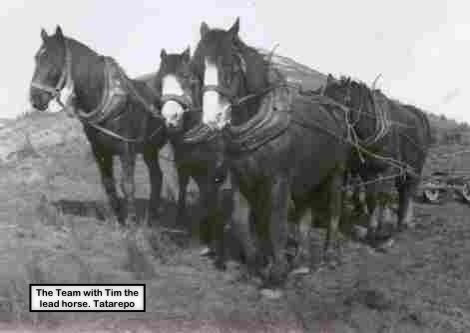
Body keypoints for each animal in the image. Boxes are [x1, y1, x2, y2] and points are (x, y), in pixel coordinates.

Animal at [28, 24, 166, 224]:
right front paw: (117, 219)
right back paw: (153, 212)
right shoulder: (99, 151)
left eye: (54, 60)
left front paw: (131, 223)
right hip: (149, 149)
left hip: (151, 148)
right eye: (37, 58)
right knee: (157, 176)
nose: (36, 99)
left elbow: (127, 185)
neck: (109, 99)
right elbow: (108, 184)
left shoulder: (127, 150)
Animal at [152, 47, 229, 268]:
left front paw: (214, 247)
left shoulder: (213, 171)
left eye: (186, 77)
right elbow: (184, 192)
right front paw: (184, 226)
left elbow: (213, 202)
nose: (170, 118)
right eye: (160, 80)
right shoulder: (185, 166)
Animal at [189, 17, 350, 286]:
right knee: (305, 214)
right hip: (307, 179)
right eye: (197, 68)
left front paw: (276, 274)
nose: (213, 119)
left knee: (334, 212)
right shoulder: (242, 179)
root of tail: (333, 108)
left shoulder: (279, 180)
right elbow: (243, 221)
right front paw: (257, 264)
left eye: (229, 66)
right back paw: (301, 262)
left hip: (335, 174)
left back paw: (329, 256)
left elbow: (276, 223)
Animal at [322, 74, 432, 243]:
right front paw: (371, 228)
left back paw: (403, 222)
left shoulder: (390, 170)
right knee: (402, 191)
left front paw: (381, 231)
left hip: (414, 167)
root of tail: (419, 115)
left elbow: (383, 197)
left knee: (408, 192)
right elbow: (371, 198)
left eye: (338, 104)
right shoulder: (366, 171)